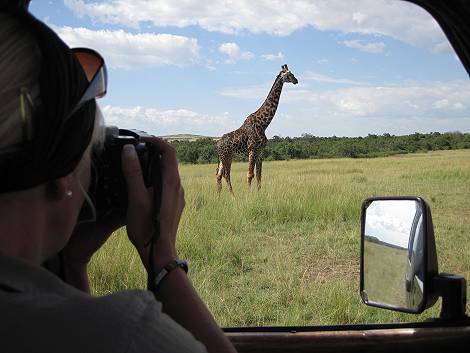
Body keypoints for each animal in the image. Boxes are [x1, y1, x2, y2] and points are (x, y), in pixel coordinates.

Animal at [216, 64, 298, 194]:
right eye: (289, 74)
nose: (296, 80)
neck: (263, 124)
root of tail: (217, 144)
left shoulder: (260, 151)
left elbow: (259, 175)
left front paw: (259, 194)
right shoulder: (252, 149)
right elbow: (250, 174)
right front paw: (248, 195)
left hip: (224, 157)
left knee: (219, 175)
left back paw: (218, 196)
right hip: (226, 157)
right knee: (226, 175)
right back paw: (233, 196)